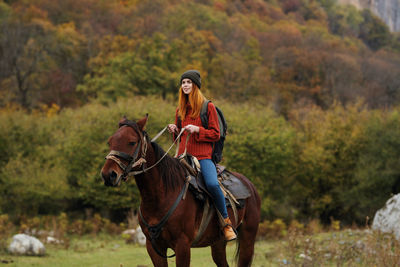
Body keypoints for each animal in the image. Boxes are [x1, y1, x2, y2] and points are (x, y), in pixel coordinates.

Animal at [101, 116, 260, 266]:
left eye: (132, 142)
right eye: (110, 141)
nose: (108, 175)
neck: (160, 197)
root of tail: (250, 186)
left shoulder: (182, 245)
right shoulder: (153, 247)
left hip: (248, 240)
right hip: (218, 244)